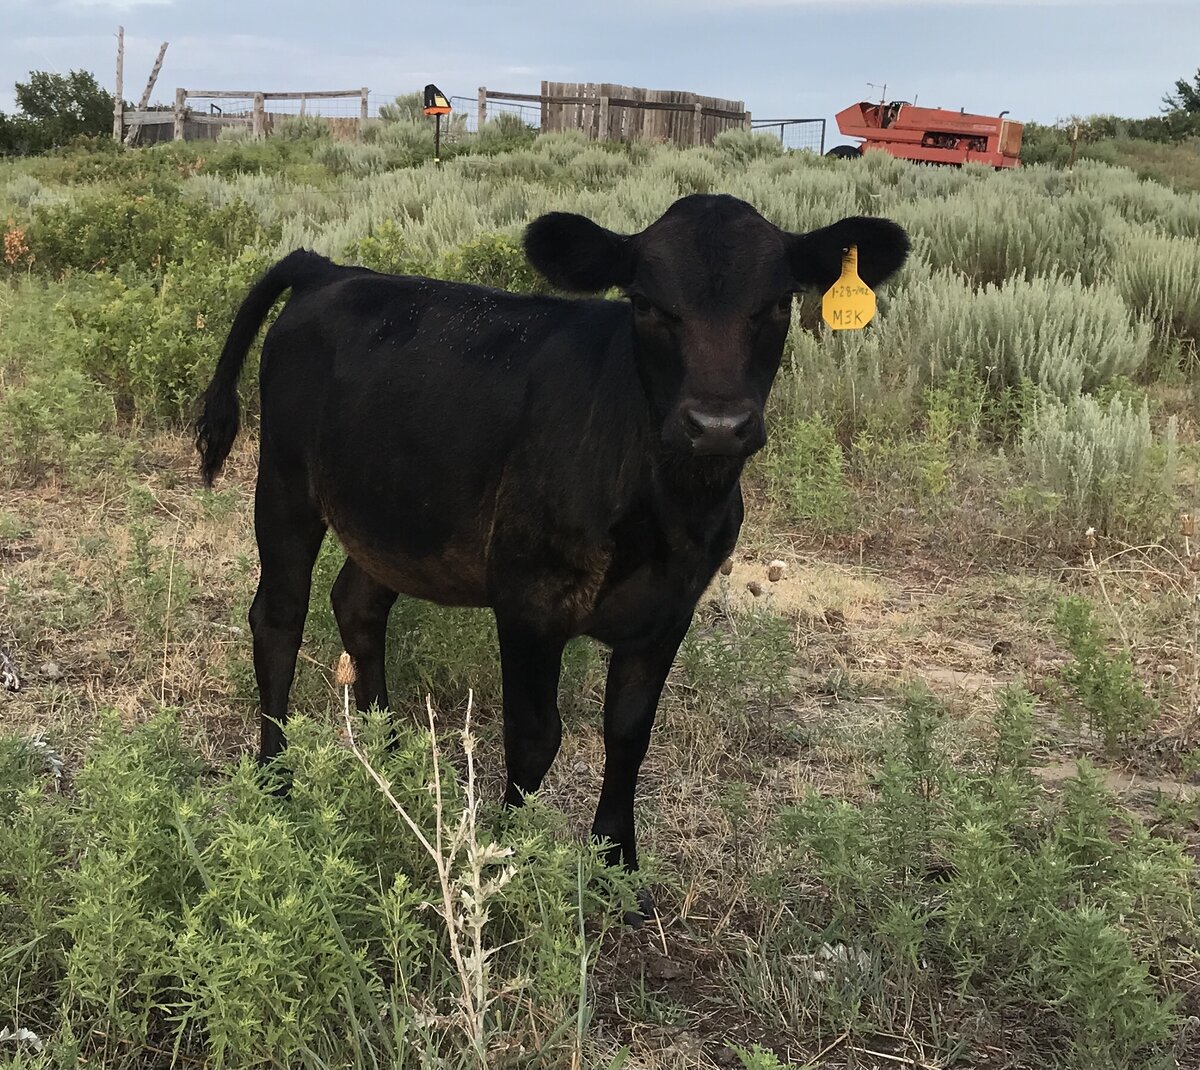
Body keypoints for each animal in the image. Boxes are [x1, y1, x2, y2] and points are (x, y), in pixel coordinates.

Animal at [195, 194, 908, 914]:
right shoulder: (529, 600)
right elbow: (535, 737)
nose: (716, 425)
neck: (667, 507)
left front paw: (619, 866)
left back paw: (391, 756)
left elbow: (629, 733)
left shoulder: (672, 610)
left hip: (392, 513)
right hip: (284, 484)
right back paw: (277, 778)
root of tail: (330, 270)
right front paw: (508, 858)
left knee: (359, 604)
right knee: (278, 617)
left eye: (775, 304)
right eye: (646, 303)